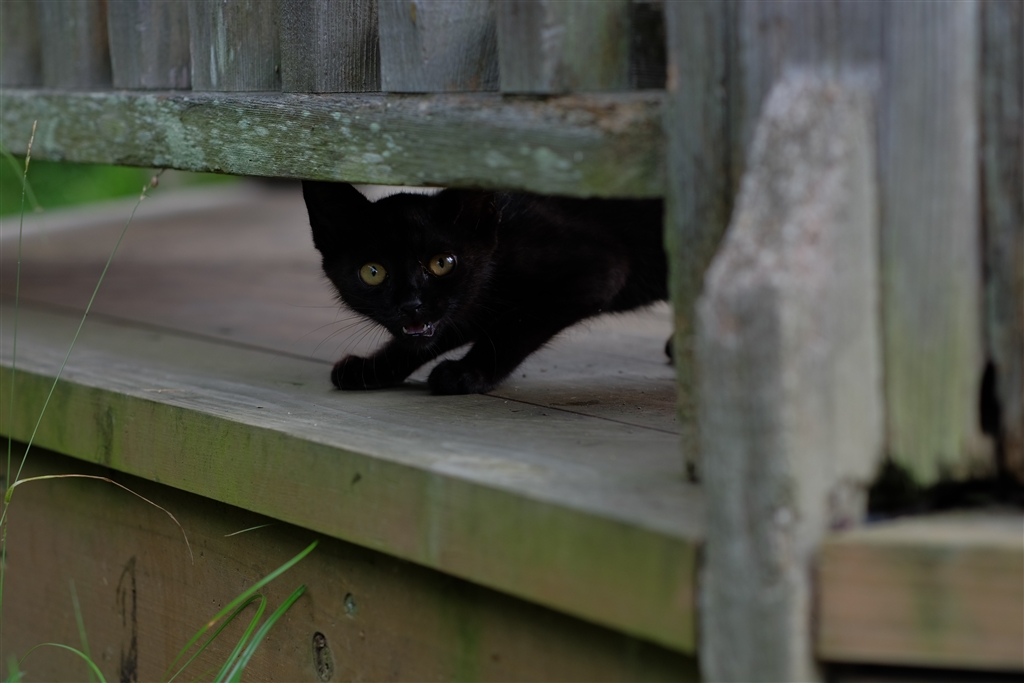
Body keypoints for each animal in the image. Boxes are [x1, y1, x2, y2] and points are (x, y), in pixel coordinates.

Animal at [302, 181, 668, 395]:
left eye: (443, 263)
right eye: (373, 272)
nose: (411, 303)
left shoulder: (600, 269)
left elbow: (515, 326)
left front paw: (467, 373)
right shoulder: (466, 307)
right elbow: (441, 333)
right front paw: (372, 368)